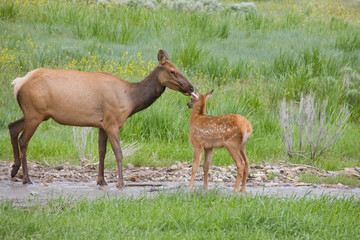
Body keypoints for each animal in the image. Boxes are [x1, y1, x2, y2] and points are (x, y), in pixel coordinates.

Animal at [8, 49, 194, 188]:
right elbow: (118, 153)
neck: (131, 100)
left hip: (37, 114)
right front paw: (120, 183)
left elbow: (102, 152)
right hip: (35, 113)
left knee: (12, 126)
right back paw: (26, 178)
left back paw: (14, 170)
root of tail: (18, 84)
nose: (191, 87)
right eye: (172, 71)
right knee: (23, 140)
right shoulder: (112, 122)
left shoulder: (101, 125)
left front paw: (102, 181)